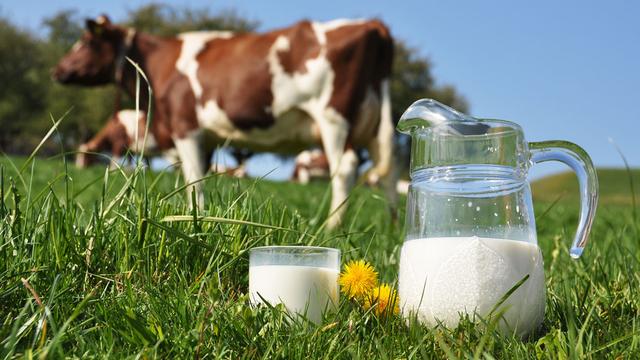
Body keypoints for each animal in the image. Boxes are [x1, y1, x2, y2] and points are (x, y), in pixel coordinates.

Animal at [55, 15, 396, 228]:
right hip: (375, 125)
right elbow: (196, 179)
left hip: (333, 118)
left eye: (86, 41)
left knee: (346, 167)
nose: (57, 70)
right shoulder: (204, 139)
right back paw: (393, 226)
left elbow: (193, 179)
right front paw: (195, 216)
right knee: (389, 173)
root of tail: (373, 24)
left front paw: (195, 218)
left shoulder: (186, 127)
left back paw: (331, 226)